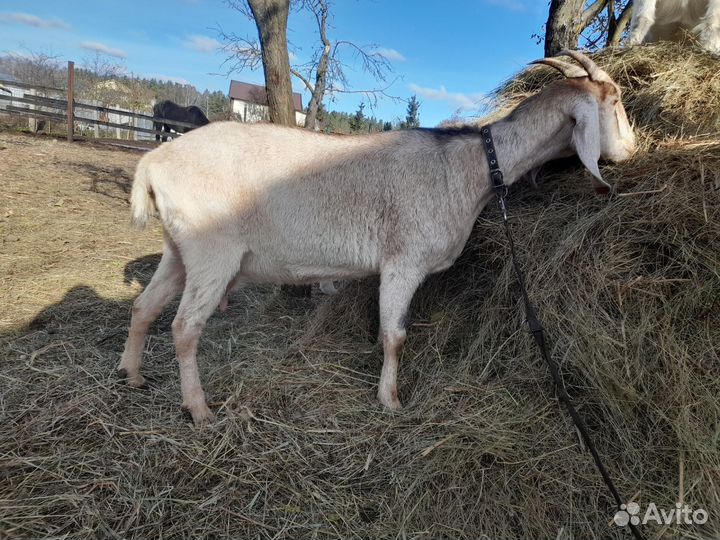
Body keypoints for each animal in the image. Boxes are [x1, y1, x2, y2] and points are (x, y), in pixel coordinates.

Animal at [118, 51, 636, 425]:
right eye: (613, 101)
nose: (632, 149)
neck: (468, 167)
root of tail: (154, 162)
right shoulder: (404, 260)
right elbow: (396, 336)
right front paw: (390, 399)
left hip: (179, 250)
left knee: (144, 306)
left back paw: (133, 374)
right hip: (213, 252)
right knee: (185, 327)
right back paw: (199, 409)